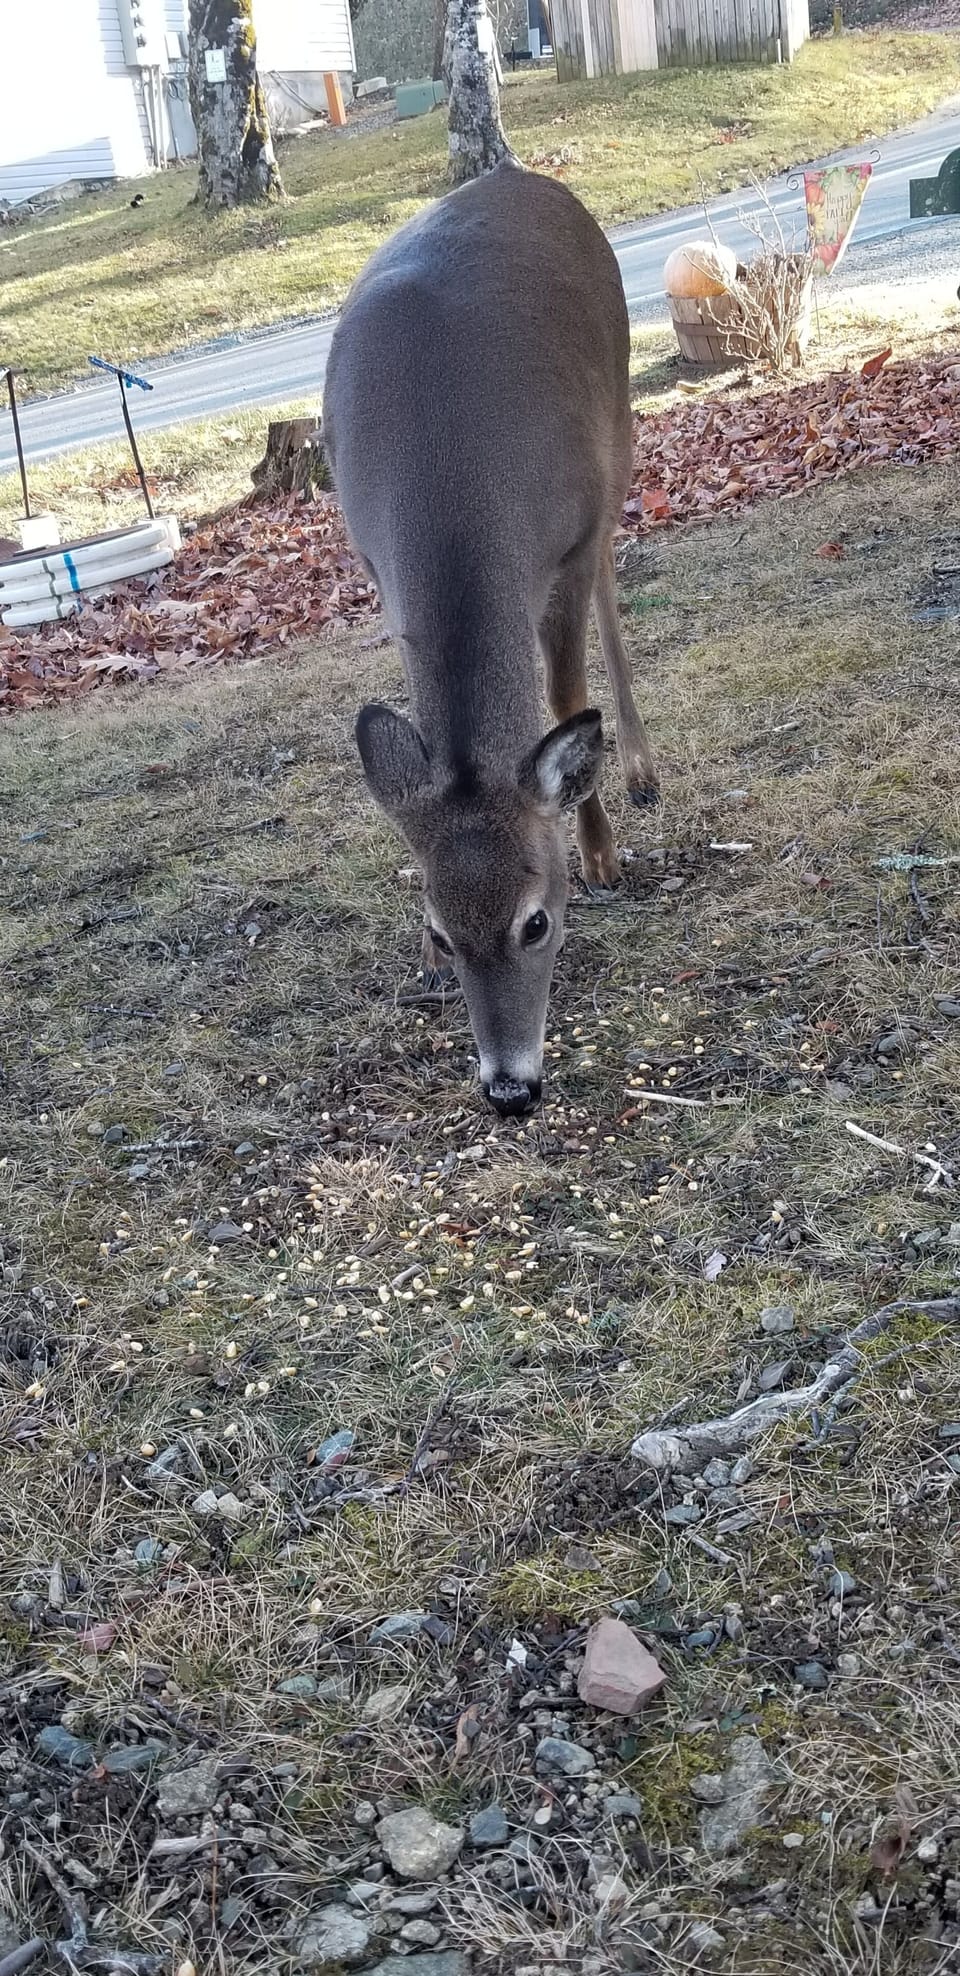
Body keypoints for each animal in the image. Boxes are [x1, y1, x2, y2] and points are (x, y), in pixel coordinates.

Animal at [322, 163, 658, 1117]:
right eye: (440, 928)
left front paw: (601, 855)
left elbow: (565, 696)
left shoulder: (567, 537)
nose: (510, 1086)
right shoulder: (373, 563)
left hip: (618, 421)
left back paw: (641, 770)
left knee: (616, 575)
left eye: (536, 921)